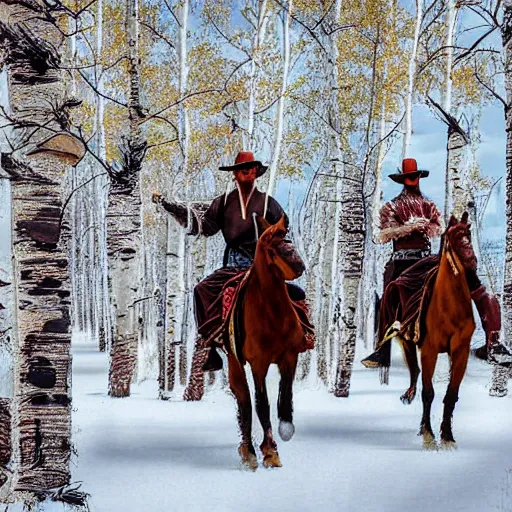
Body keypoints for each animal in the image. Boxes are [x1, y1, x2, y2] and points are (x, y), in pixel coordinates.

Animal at [229, 214, 308, 470]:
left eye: (289, 240)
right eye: (272, 247)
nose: (299, 267)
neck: (273, 315)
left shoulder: (290, 357)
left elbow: (286, 394)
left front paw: (286, 429)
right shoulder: (258, 363)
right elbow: (261, 404)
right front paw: (270, 451)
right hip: (233, 361)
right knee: (243, 399)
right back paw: (249, 453)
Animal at [380, 212, 476, 448]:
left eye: (468, 232)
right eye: (453, 236)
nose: (471, 260)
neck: (450, 308)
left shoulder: (461, 352)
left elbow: (451, 395)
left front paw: (447, 436)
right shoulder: (429, 350)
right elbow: (428, 392)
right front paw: (428, 433)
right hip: (405, 339)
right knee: (414, 370)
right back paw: (408, 394)